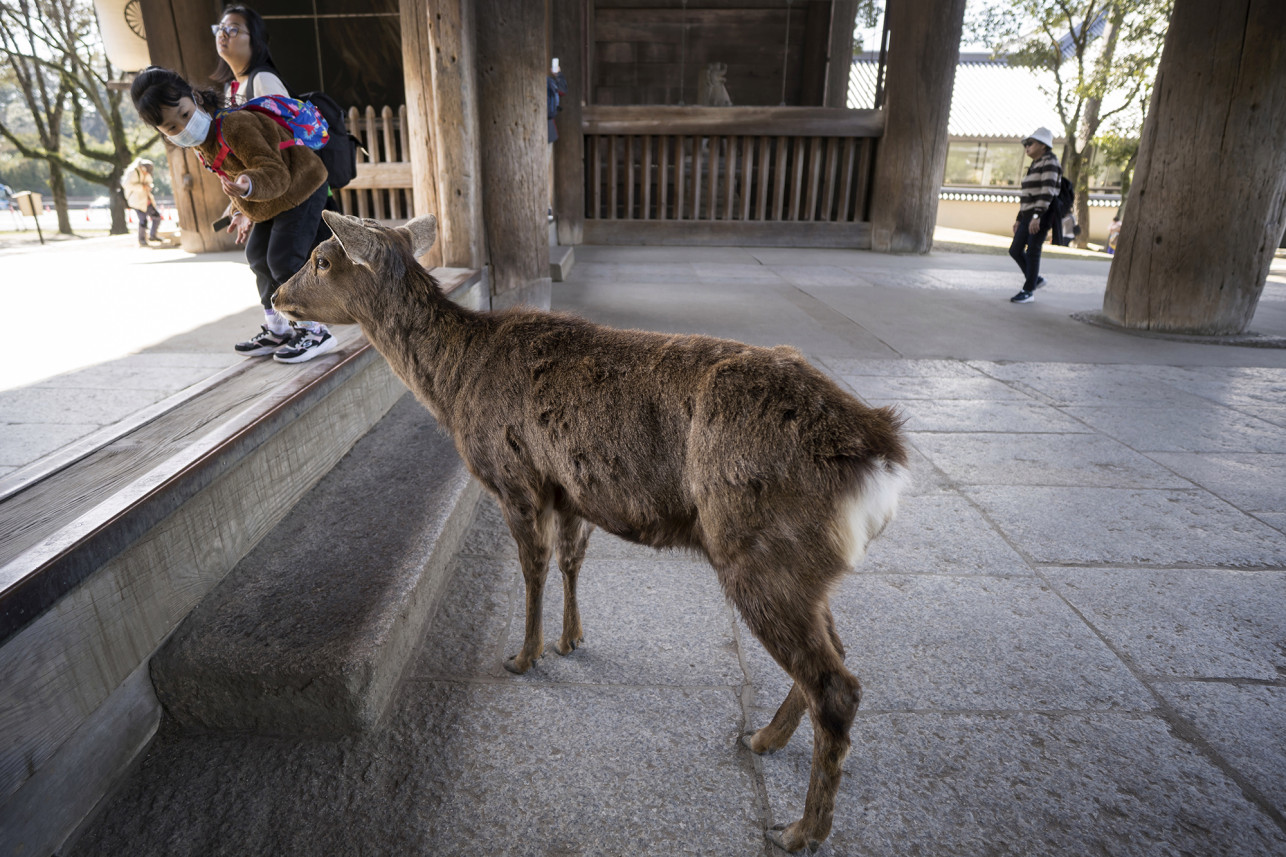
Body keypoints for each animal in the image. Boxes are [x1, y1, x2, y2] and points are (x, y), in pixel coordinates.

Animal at [276, 212, 910, 849]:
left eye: (321, 259)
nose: (277, 296)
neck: (454, 390)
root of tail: (881, 454)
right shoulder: (570, 490)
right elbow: (570, 559)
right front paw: (570, 639)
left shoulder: (516, 478)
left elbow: (532, 567)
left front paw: (523, 656)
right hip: (804, 566)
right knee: (835, 653)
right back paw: (761, 739)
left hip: (759, 551)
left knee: (836, 686)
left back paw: (800, 829)